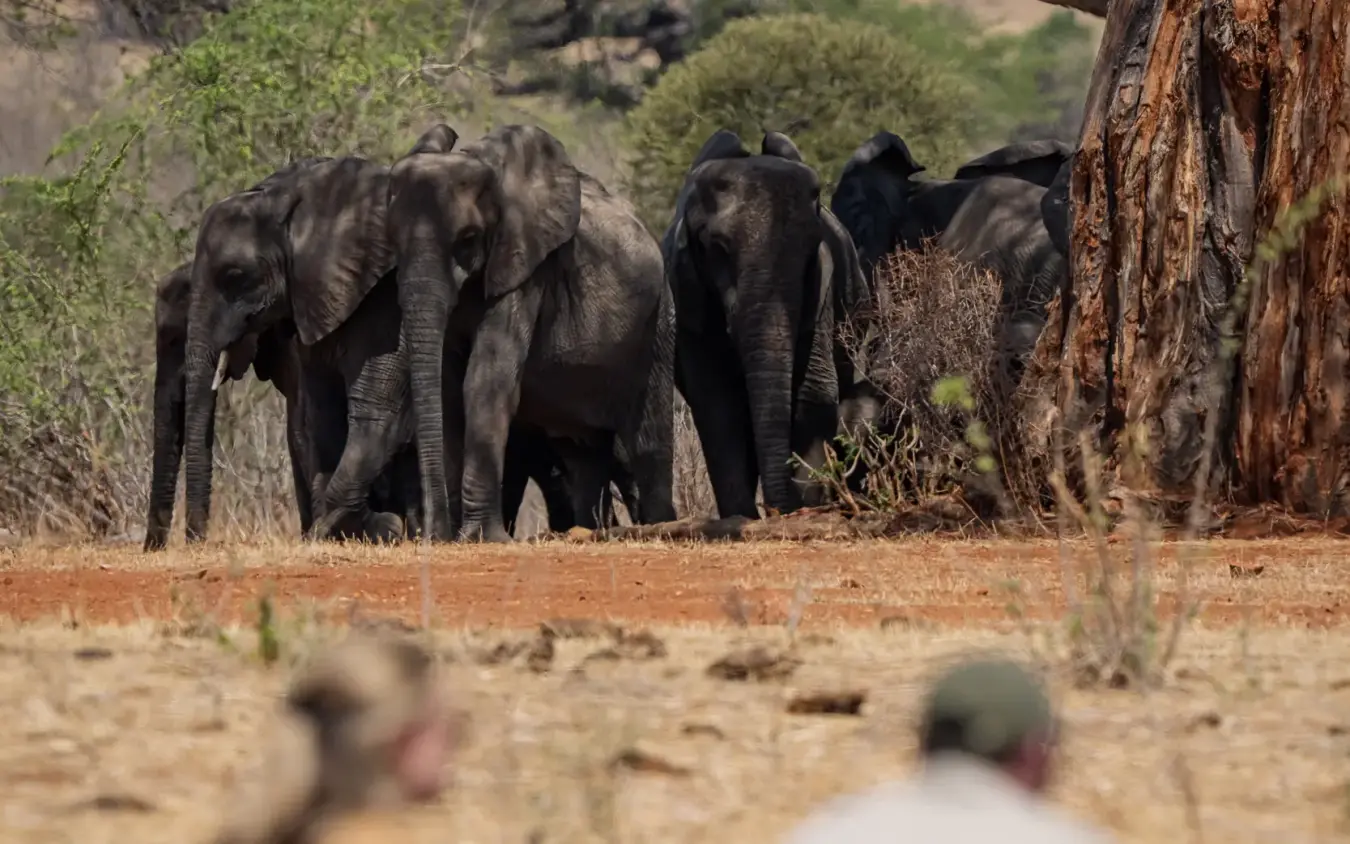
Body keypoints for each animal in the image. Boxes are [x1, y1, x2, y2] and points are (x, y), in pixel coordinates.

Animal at [387, 122, 677, 543]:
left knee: (648, 438)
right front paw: (456, 537)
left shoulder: (525, 272)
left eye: (469, 239)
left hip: (659, 318)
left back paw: (661, 526)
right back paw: (588, 530)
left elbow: (484, 381)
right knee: (583, 450)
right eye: (391, 242)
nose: (431, 535)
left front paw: (481, 538)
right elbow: (447, 390)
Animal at [662, 128, 870, 520]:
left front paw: (806, 504)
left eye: (809, 248)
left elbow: (814, 390)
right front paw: (742, 517)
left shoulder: (822, 286)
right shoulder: (687, 294)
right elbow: (717, 402)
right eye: (718, 248)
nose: (776, 509)